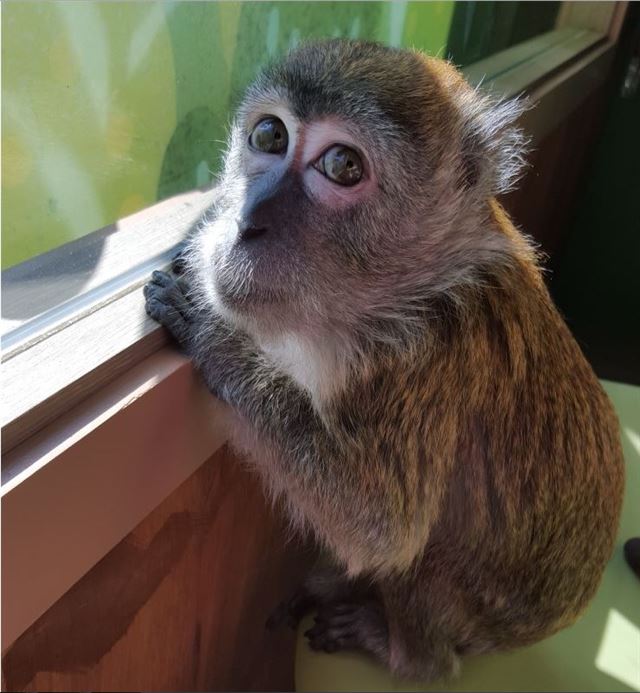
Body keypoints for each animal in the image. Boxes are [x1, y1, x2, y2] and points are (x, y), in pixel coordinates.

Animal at [142, 40, 624, 680]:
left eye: (342, 166)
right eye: (270, 135)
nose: (248, 219)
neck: (417, 285)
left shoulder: (429, 359)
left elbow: (379, 524)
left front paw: (208, 329)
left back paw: (407, 653)